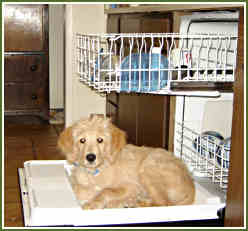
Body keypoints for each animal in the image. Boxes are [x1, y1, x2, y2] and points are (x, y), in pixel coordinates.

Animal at [58, 115, 196, 209]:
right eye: (82, 140)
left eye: (100, 140)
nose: (90, 157)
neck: (96, 171)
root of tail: (191, 187)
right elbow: (79, 188)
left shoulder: (132, 186)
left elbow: (107, 190)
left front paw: (94, 203)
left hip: (149, 168)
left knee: (164, 203)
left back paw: (133, 203)